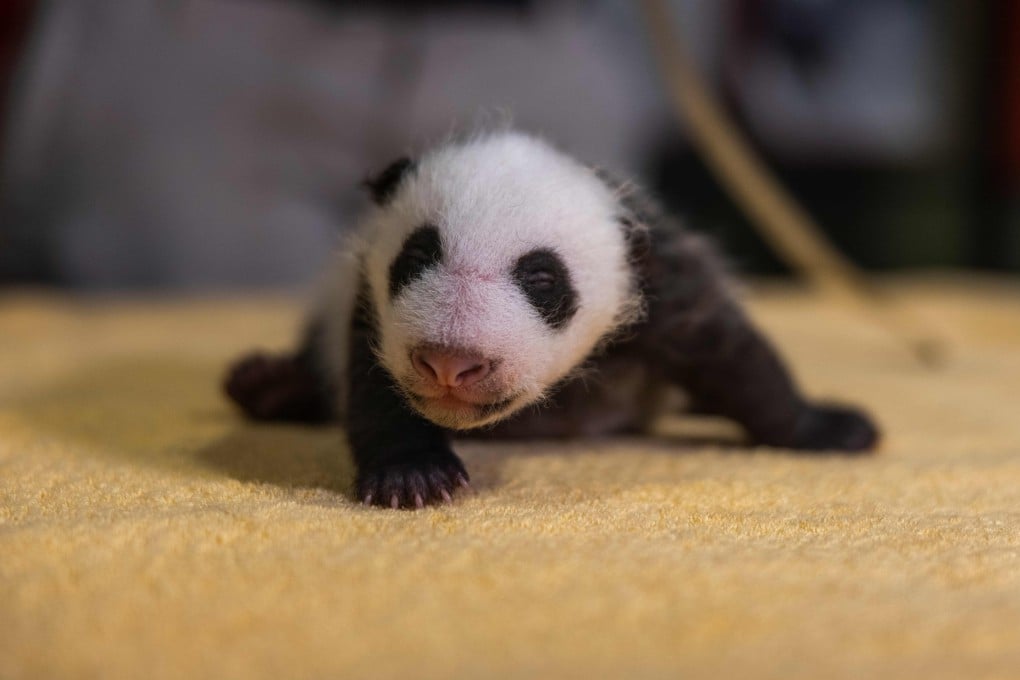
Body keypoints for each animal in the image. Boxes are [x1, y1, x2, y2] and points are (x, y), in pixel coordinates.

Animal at [225, 131, 879, 509]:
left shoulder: (657, 278)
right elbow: (374, 379)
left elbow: (733, 356)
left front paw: (830, 427)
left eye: (542, 280)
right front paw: (411, 474)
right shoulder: (369, 299)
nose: (450, 364)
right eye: (415, 257)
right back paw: (268, 385)